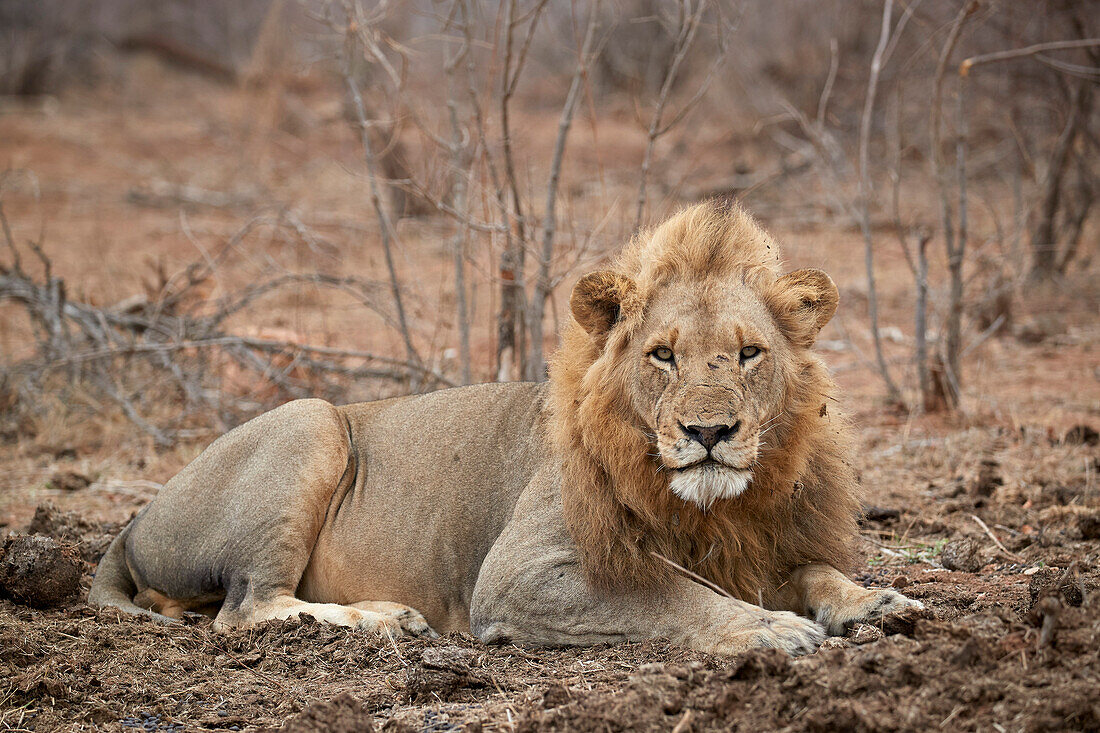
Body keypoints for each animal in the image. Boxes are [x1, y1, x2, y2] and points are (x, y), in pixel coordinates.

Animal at [92, 200, 919, 651]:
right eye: (662, 354)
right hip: (312, 422)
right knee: (246, 608)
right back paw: (386, 619)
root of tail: (130, 523)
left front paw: (875, 601)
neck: (714, 507)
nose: (708, 432)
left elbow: (815, 570)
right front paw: (768, 628)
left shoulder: (762, 545)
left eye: (749, 353)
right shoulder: (519, 573)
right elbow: (666, 593)